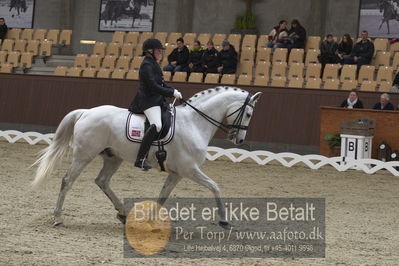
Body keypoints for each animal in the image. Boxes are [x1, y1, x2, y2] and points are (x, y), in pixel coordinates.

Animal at [31, 87, 262, 227]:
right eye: (249, 114)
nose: (239, 140)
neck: (194, 123)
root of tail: (85, 112)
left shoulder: (177, 173)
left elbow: (163, 195)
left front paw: (150, 220)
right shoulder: (190, 169)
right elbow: (215, 186)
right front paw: (224, 220)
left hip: (113, 157)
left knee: (102, 181)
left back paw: (122, 213)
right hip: (84, 156)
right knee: (67, 181)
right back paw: (58, 218)